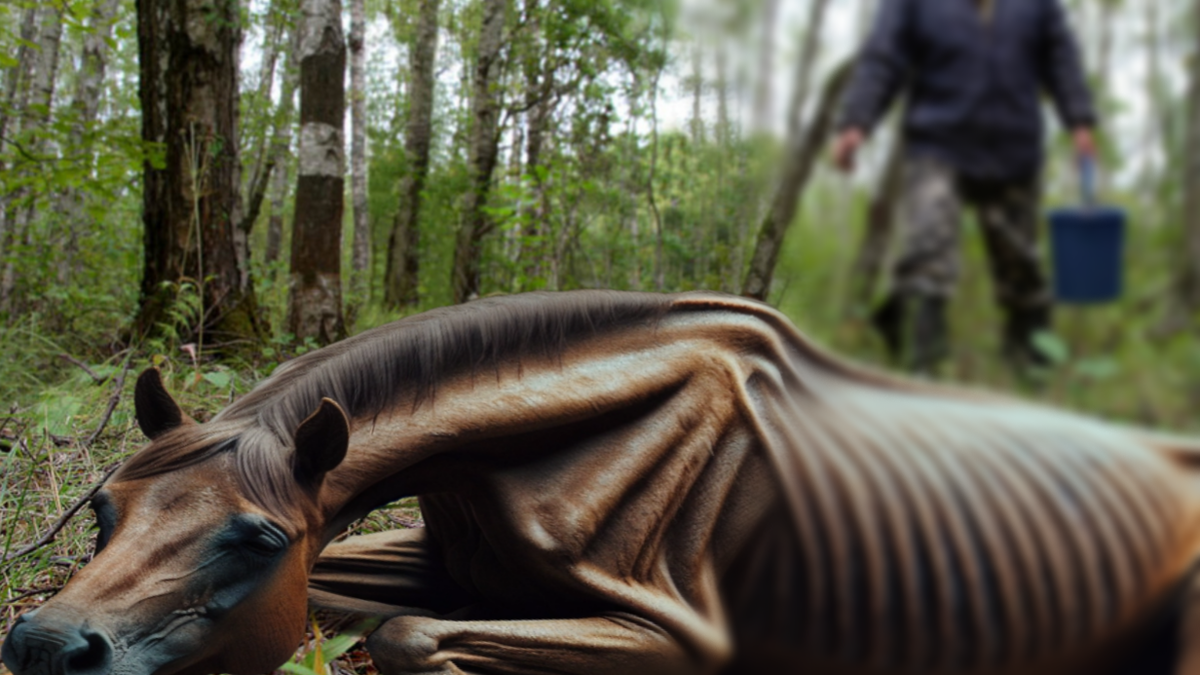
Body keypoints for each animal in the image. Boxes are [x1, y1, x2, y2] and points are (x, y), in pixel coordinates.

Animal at [5, 290, 1200, 675]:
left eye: (254, 538)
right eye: (100, 510)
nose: (41, 645)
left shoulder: (677, 635)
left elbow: (405, 636)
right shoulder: (434, 561)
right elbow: (353, 603)